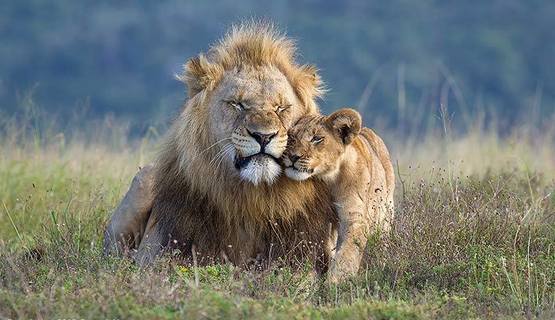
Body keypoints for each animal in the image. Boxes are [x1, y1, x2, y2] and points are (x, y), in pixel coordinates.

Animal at [282, 108, 396, 282]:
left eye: (317, 139)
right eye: (291, 136)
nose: (293, 156)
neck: (330, 179)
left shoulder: (354, 216)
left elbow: (348, 252)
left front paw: (334, 282)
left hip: (384, 220)